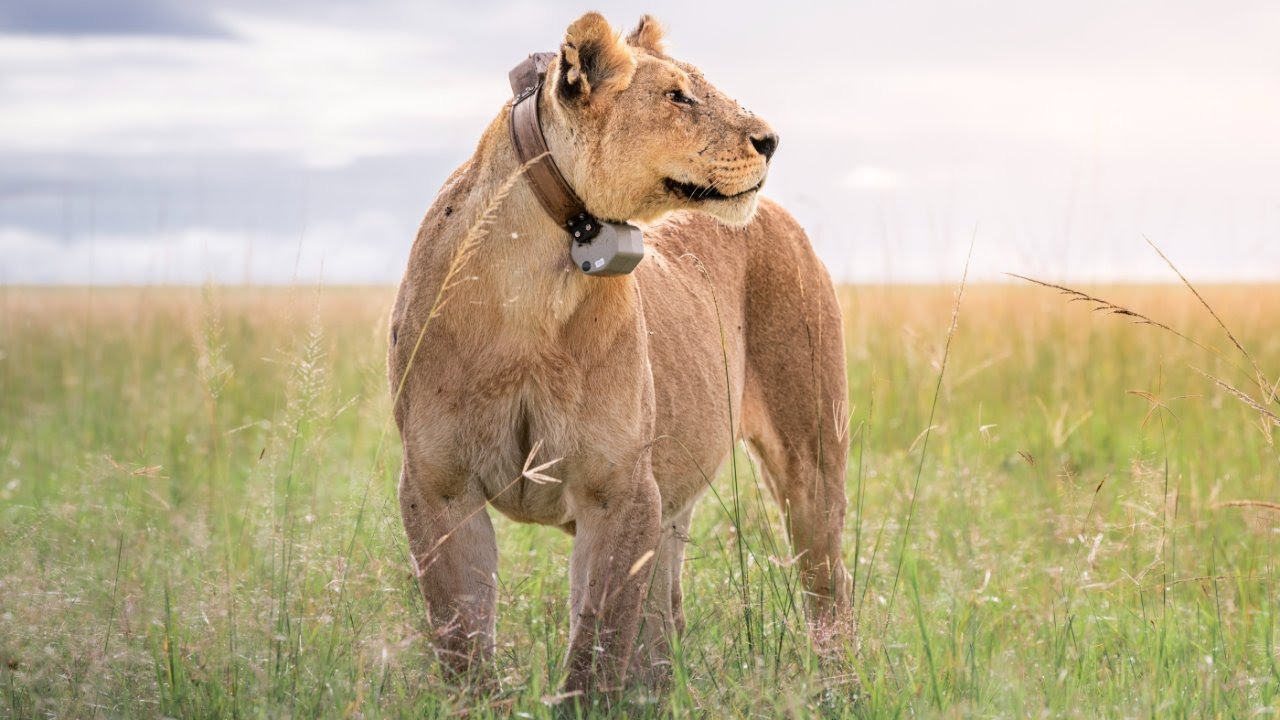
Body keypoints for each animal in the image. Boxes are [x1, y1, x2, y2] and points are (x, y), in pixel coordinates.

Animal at [388, 12, 851, 694]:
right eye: (678, 96)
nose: (770, 141)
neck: (532, 285)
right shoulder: (438, 488)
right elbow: (463, 645)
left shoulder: (620, 491)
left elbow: (595, 653)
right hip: (675, 497)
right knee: (663, 623)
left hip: (811, 460)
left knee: (829, 590)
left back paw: (840, 684)